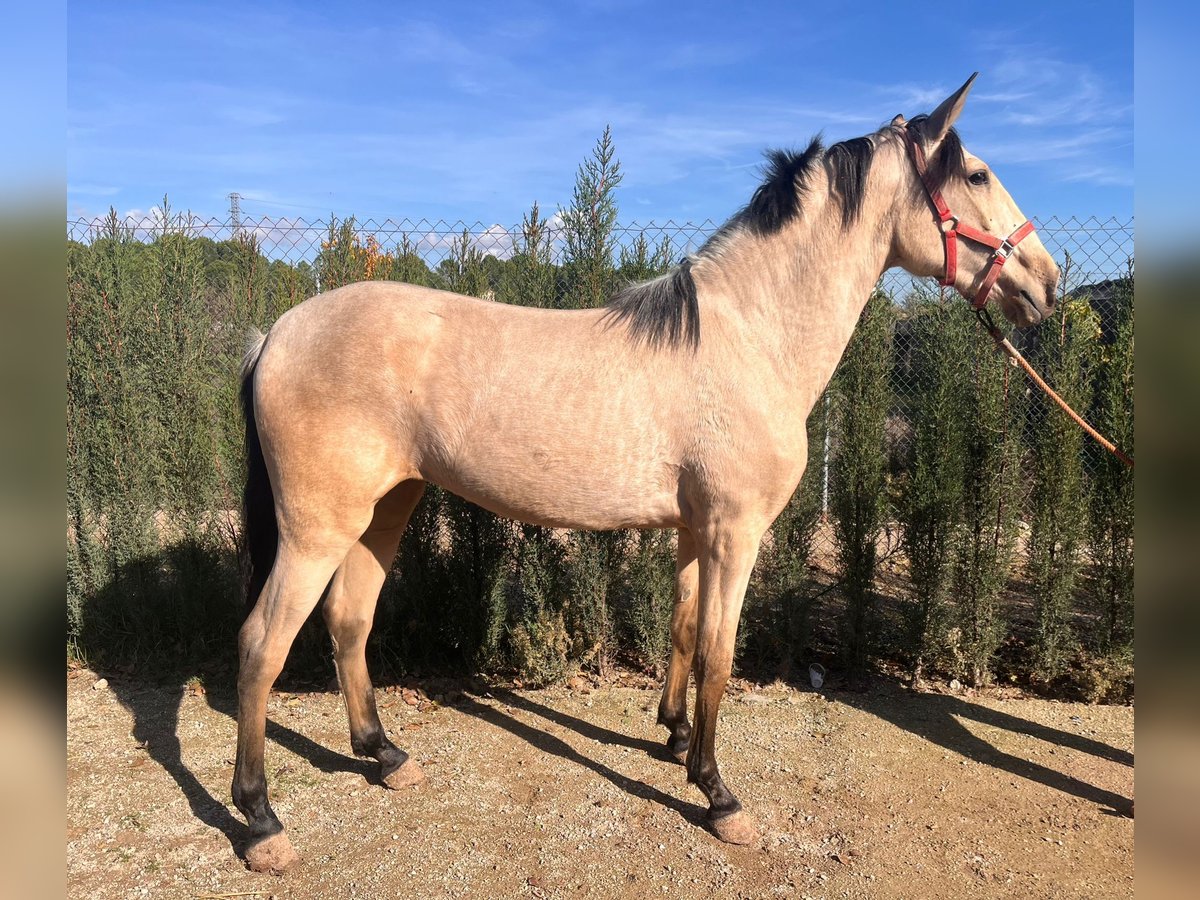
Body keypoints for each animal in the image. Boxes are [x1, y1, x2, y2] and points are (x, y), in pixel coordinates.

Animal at [229, 74, 1056, 878]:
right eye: (977, 174)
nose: (1047, 280)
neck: (750, 337)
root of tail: (276, 332)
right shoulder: (734, 532)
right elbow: (721, 654)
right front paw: (719, 795)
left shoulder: (695, 530)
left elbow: (684, 630)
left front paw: (675, 739)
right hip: (318, 527)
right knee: (263, 643)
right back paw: (262, 823)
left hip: (388, 507)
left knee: (349, 621)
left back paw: (386, 756)